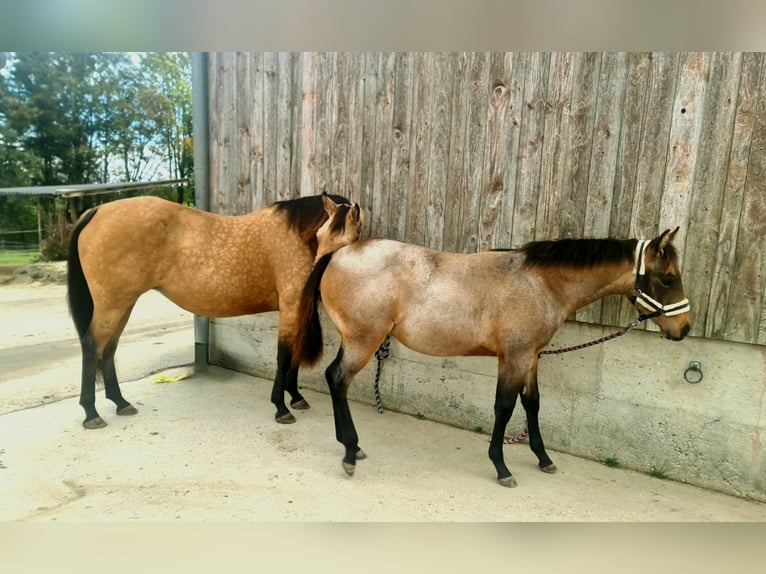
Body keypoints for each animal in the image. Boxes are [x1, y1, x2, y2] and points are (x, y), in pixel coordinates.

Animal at [67, 192, 365, 429]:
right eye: (322, 235)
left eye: (349, 238)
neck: (297, 237)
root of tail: (97, 211)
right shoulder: (291, 306)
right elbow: (284, 356)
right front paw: (281, 407)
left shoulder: (297, 308)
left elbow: (293, 354)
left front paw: (296, 397)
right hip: (112, 305)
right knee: (92, 347)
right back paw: (91, 413)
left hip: (123, 304)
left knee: (109, 349)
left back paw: (120, 402)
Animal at [292, 229, 691, 487]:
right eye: (668, 279)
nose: (684, 328)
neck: (540, 283)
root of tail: (340, 253)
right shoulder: (513, 358)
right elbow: (505, 408)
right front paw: (501, 467)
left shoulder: (530, 357)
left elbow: (532, 404)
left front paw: (543, 459)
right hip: (363, 340)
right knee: (338, 379)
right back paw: (349, 451)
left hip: (355, 340)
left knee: (334, 379)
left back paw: (353, 448)